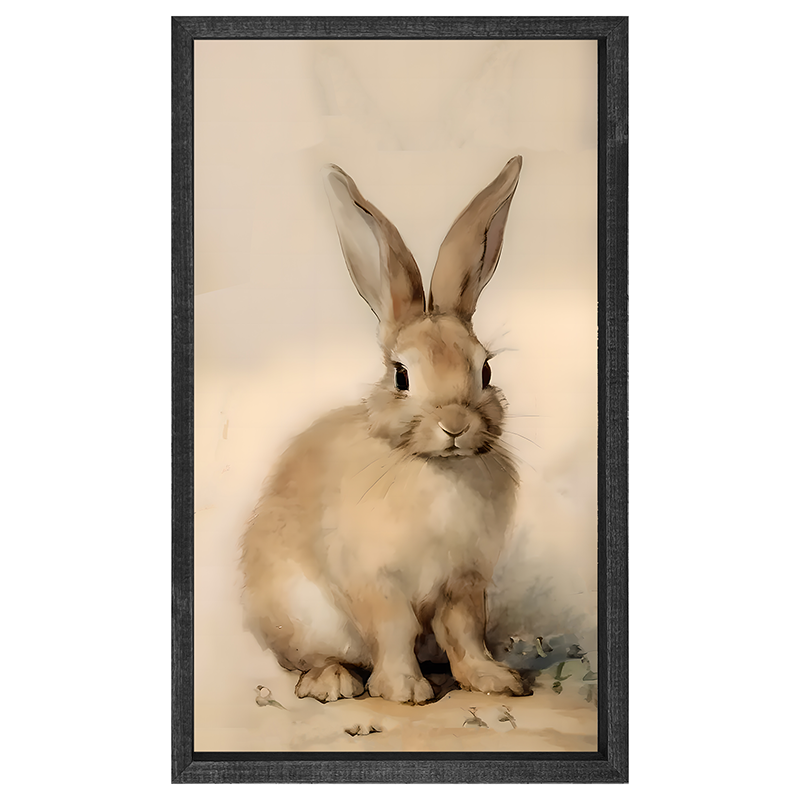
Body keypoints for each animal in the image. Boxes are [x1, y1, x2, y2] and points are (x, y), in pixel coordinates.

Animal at [241, 156, 527, 704]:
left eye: (485, 370)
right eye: (401, 376)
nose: (455, 424)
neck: (435, 468)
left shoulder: (463, 581)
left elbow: (466, 632)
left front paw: (494, 680)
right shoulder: (375, 581)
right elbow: (393, 630)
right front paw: (405, 691)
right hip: (302, 617)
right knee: (316, 659)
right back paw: (334, 682)